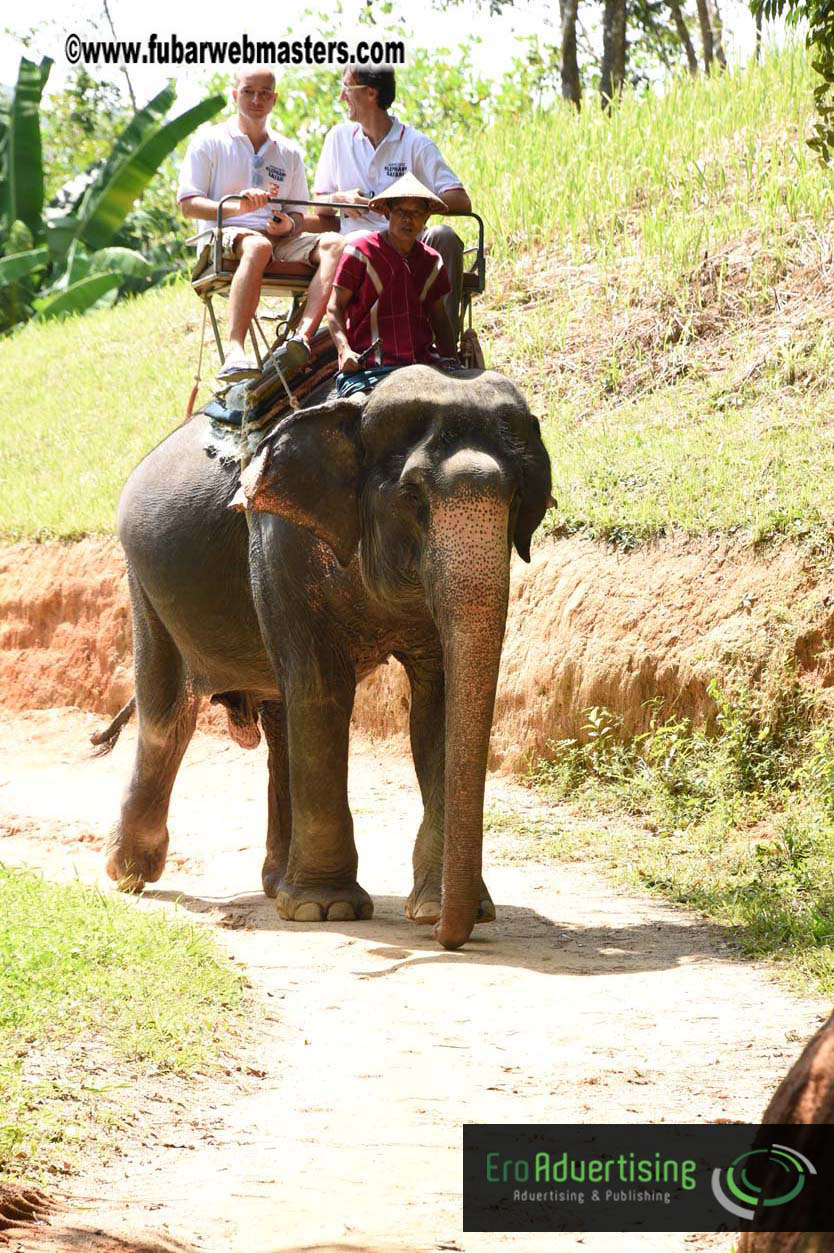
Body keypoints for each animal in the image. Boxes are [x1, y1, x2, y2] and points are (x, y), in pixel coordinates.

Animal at [106, 365, 552, 950]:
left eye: (520, 496)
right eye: (412, 496)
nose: (448, 937)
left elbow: (437, 711)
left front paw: (437, 909)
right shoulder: (279, 543)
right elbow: (322, 689)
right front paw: (327, 909)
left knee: (277, 718)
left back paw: (275, 883)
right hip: (145, 584)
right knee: (167, 716)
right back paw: (130, 874)